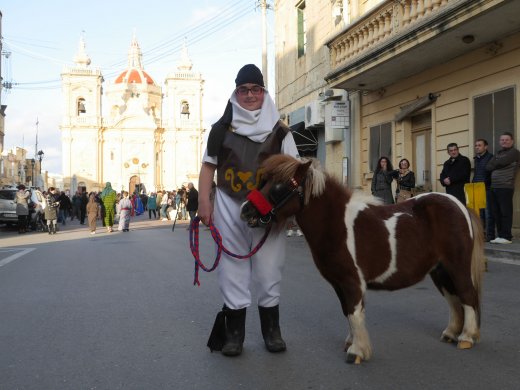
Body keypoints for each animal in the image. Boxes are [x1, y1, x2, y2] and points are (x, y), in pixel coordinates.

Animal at [242, 154, 486, 364]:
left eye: (279, 186)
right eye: (263, 180)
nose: (246, 212)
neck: (336, 224)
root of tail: (460, 206)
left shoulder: (352, 281)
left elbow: (354, 312)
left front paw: (357, 351)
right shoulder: (338, 283)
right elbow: (347, 312)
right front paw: (351, 343)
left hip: (457, 266)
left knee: (467, 295)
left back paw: (466, 337)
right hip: (440, 270)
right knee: (454, 299)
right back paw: (451, 333)